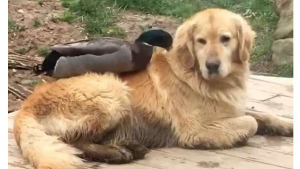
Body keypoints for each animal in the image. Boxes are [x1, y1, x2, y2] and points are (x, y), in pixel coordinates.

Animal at [14, 8, 292, 169]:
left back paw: (128, 146)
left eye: (226, 39)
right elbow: (251, 123)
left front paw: (285, 124)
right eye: (201, 41)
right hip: (111, 92)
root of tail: (27, 103)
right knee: (75, 140)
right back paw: (116, 153)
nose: (212, 65)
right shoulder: (196, 129)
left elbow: (260, 115)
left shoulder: (231, 108)